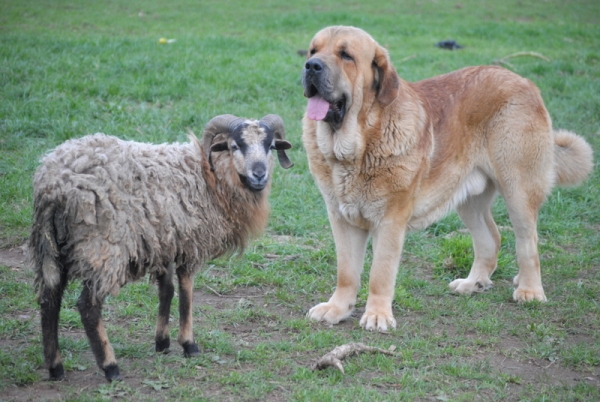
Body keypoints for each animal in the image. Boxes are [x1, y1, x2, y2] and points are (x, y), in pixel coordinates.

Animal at [29, 114, 292, 384]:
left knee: (49, 300)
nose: (259, 175)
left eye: (271, 146)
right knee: (88, 307)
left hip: (50, 247)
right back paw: (110, 367)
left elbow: (166, 290)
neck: (209, 176)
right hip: (102, 248)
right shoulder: (190, 243)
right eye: (235, 146)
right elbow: (186, 292)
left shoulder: (163, 240)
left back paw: (55, 367)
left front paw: (162, 343)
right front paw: (188, 344)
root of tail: (54, 186)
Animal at [302, 25, 592, 332]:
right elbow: (346, 272)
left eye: (346, 55)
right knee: (491, 238)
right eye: (313, 51)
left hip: (518, 191)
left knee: (528, 243)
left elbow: (380, 273)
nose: (311, 66)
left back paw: (530, 290)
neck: (357, 146)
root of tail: (526, 82)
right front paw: (337, 308)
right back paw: (473, 283)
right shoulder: (341, 219)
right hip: (469, 199)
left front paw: (378, 315)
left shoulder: (390, 221)